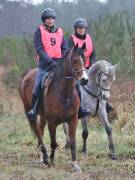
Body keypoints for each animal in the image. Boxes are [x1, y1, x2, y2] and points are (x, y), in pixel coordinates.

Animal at [19, 43, 88, 172]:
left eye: (85, 60)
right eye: (75, 60)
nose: (85, 80)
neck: (65, 93)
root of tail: (28, 74)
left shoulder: (73, 120)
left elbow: (72, 142)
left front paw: (75, 165)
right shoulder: (52, 122)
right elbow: (54, 143)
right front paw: (51, 161)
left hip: (42, 117)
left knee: (40, 130)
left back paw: (42, 158)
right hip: (30, 111)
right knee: (38, 132)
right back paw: (45, 157)